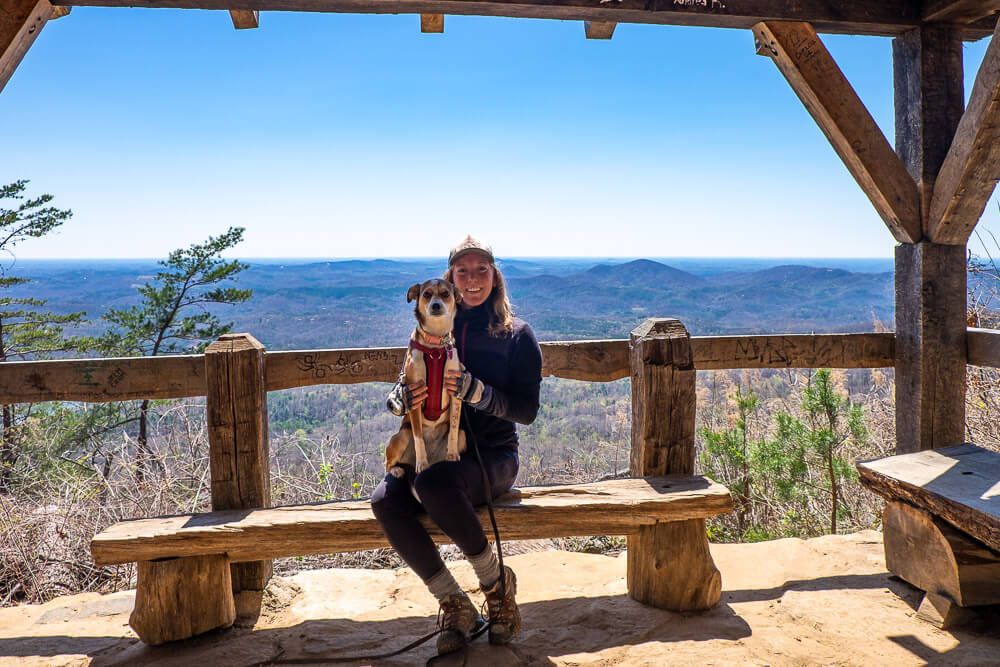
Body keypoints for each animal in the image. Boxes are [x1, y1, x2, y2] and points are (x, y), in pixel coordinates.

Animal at [386, 280, 468, 478]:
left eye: (445, 294)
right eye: (427, 294)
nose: (436, 305)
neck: (435, 345)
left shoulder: (455, 391)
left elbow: (454, 428)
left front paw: (452, 455)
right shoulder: (414, 396)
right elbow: (418, 437)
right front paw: (422, 464)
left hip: (464, 437)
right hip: (401, 436)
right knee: (387, 462)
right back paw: (397, 470)